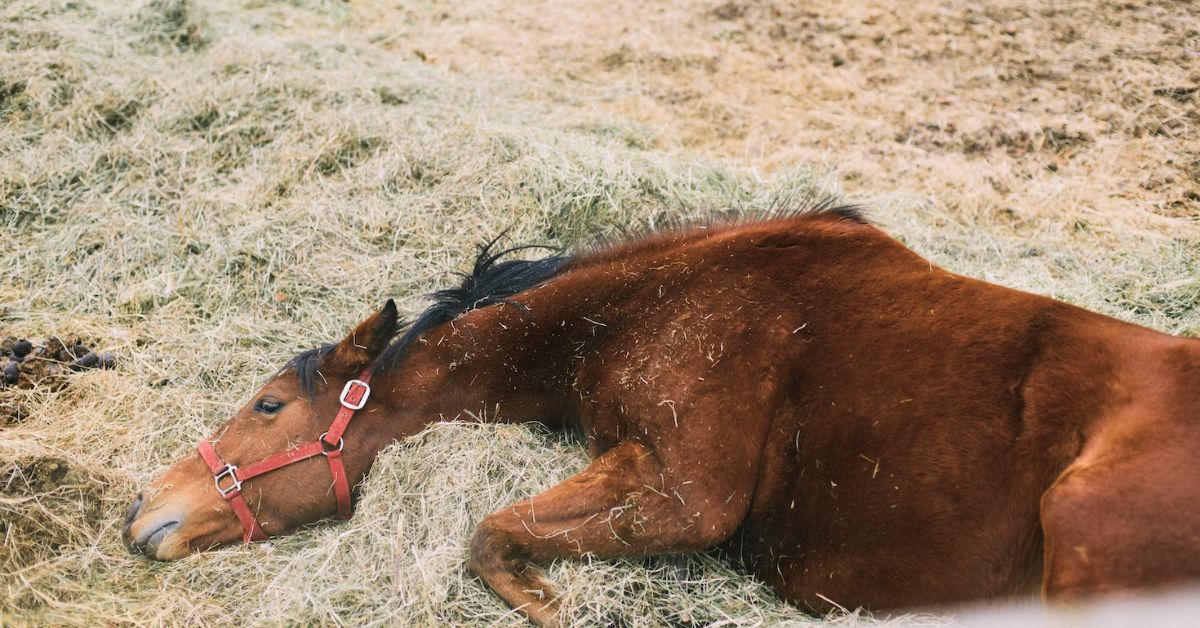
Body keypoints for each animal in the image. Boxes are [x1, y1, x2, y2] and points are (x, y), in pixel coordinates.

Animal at [121, 206, 1200, 624]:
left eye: (267, 403)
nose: (141, 514)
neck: (658, 304)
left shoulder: (689, 491)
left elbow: (487, 535)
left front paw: (547, 604)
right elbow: (494, 532)